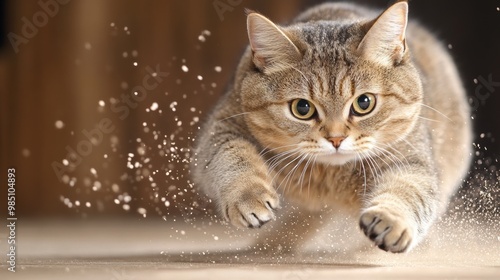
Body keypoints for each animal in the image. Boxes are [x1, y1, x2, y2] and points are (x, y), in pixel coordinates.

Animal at [189, 0, 470, 254]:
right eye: (302, 108)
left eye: (364, 103)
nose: (336, 139)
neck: (330, 180)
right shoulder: (223, 126)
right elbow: (232, 157)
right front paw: (249, 197)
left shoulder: (409, 158)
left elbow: (409, 189)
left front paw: (391, 220)